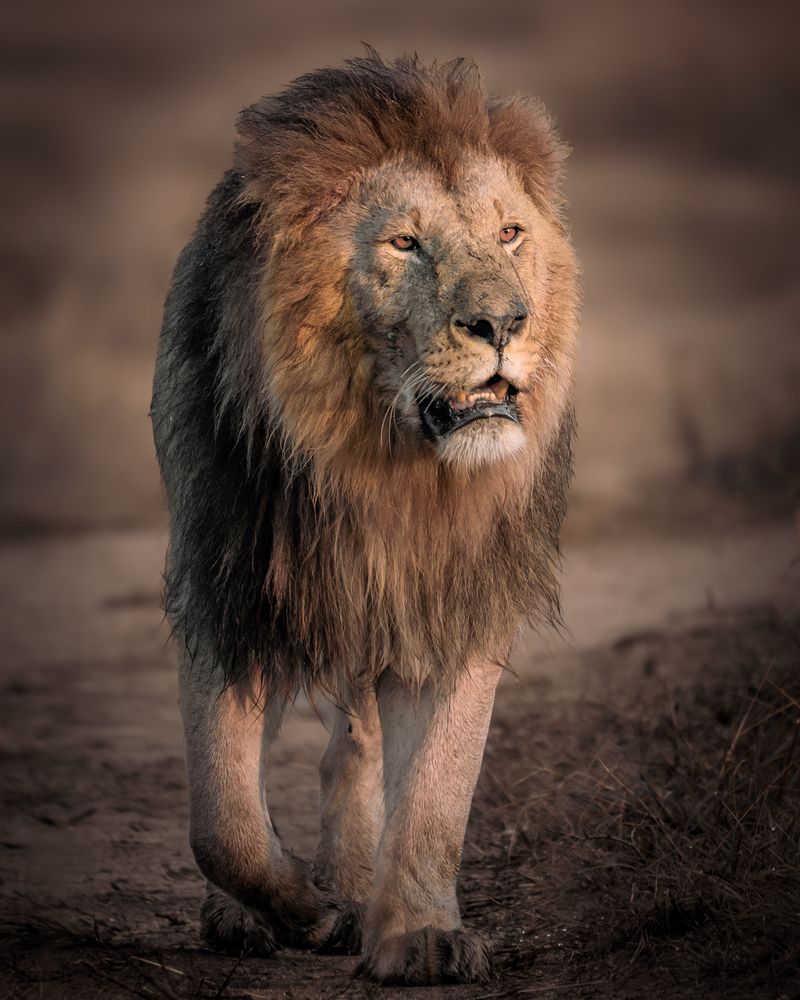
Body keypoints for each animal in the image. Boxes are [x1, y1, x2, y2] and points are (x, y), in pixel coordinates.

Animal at [151, 51, 578, 985]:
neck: (383, 474)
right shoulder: (226, 588)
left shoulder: (455, 599)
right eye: (404, 243)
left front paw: (417, 933)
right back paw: (262, 911)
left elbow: (437, 792)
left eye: (510, 235)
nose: (504, 322)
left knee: (358, 743)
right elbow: (222, 821)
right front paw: (301, 911)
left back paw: (352, 877)